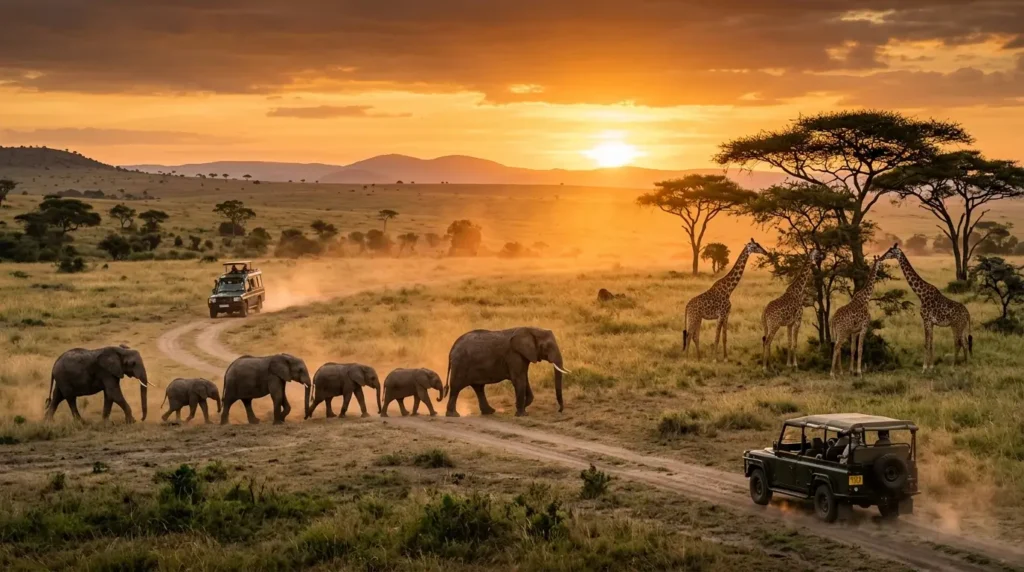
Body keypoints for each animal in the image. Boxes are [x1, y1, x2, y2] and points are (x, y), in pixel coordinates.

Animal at [829, 245, 898, 377]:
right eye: (880, 262)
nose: (881, 267)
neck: (865, 298)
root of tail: (833, 320)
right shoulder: (864, 327)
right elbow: (860, 349)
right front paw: (859, 372)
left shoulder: (854, 331)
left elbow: (853, 349)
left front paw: (851, 370)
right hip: (842, 331)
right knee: (836, 347)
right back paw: (832, 373)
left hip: (838, 332)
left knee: (837, 346)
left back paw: (840, 371)